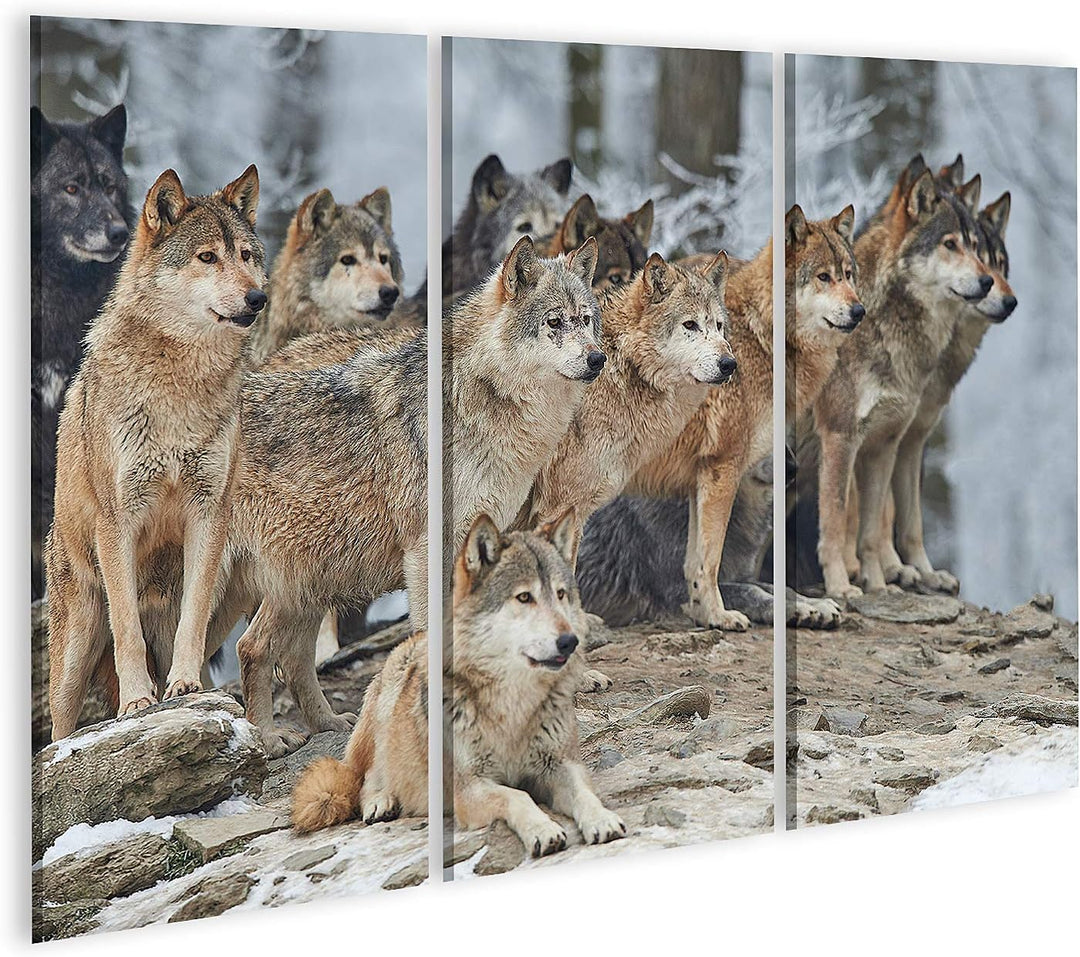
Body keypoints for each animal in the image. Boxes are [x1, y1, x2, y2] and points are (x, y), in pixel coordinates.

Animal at [46, 165, 267, 739]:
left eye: (246, 255)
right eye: (207, 257)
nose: (257, 297)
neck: (179, 386)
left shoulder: (209, 511)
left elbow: (193, 618)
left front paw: (183, 686)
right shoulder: (118, 521)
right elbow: (127, 629)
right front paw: (137, 703)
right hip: (75, 648)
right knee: (58, 727)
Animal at [292, 511, 626, 858]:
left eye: (560, 594)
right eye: (524, 597)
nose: (569, 641)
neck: (512, 706)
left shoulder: (559, 765)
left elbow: (584, 793)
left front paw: (602, 820)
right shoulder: (469, 788)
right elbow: (517, 796)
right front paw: (544, 830)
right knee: (367, 776)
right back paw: (380, 802)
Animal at [811, 169, 993, 598]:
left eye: (976, 247)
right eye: (949, 244)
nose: (988, 282)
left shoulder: (893, 441)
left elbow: (884, 526)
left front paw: (883, 585)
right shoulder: (841, 438)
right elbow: (838, 521)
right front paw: (841, 586)